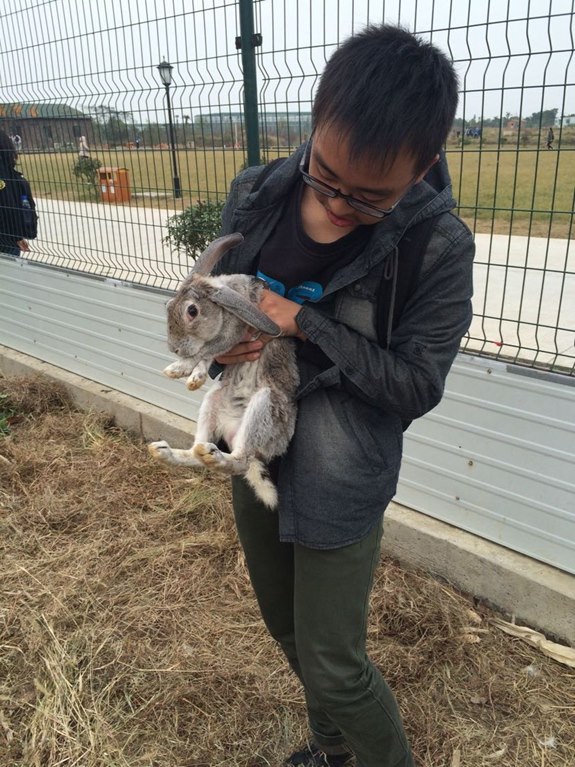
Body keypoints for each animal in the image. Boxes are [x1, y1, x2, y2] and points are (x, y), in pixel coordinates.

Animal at [148, 234, 300, 510]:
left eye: (192, 311)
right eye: (168, 305)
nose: (174, 348)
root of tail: (233, 430)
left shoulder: (235, 332)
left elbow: (207, 350)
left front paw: (183, 370)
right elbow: (208, 354)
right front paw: (186, 373)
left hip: (264, 407)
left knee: (240, 461)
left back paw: (215, 456)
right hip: (212, 403)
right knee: (196, 454)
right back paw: (165, 453)